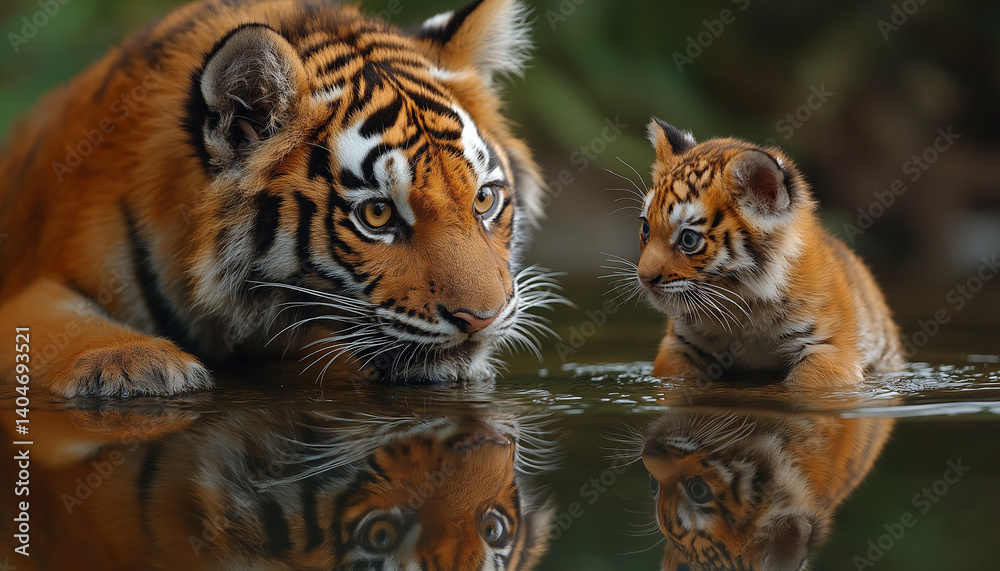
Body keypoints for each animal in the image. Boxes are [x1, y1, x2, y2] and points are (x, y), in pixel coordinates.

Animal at [629, 118, 904, 386]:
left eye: (688, 239)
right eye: (646, 227)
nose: (644, 278)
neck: (743, 307)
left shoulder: (827, 348)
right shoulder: (680, 346)